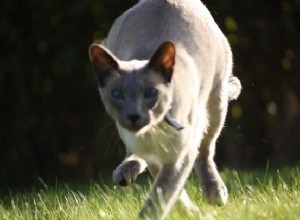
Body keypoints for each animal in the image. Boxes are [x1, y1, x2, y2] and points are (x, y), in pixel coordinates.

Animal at [88, 0, 241, 218]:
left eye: (151, 93)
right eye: (117, 94)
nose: (134, 115)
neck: (152, 132)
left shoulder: (179, 155)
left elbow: (162, 192)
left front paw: (189, 211)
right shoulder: (153, 154)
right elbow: (165, 190)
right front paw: (189, 211)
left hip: (216, 104)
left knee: (205, 151)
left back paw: (215, 192)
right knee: (133, 155)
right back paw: (125, 171)